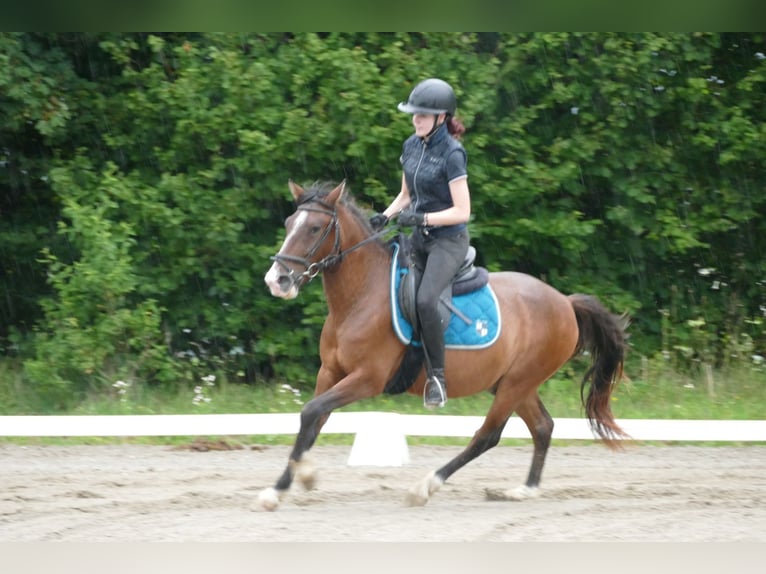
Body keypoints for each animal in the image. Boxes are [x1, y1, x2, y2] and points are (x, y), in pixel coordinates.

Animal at [259, 179, 629, 511]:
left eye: (315, 228)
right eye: (289, 224)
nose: (277, 280)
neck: (359, 298)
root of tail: (565, 302)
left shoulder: (368, 378)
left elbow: (311, 412)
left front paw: (303, 476)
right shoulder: (330, 372)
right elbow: (313, 419)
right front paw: (282, 487)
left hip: (517, 382)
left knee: (488, 435)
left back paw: (425, 487)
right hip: (514, 384)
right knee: (542, 427)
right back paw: (525, 490)